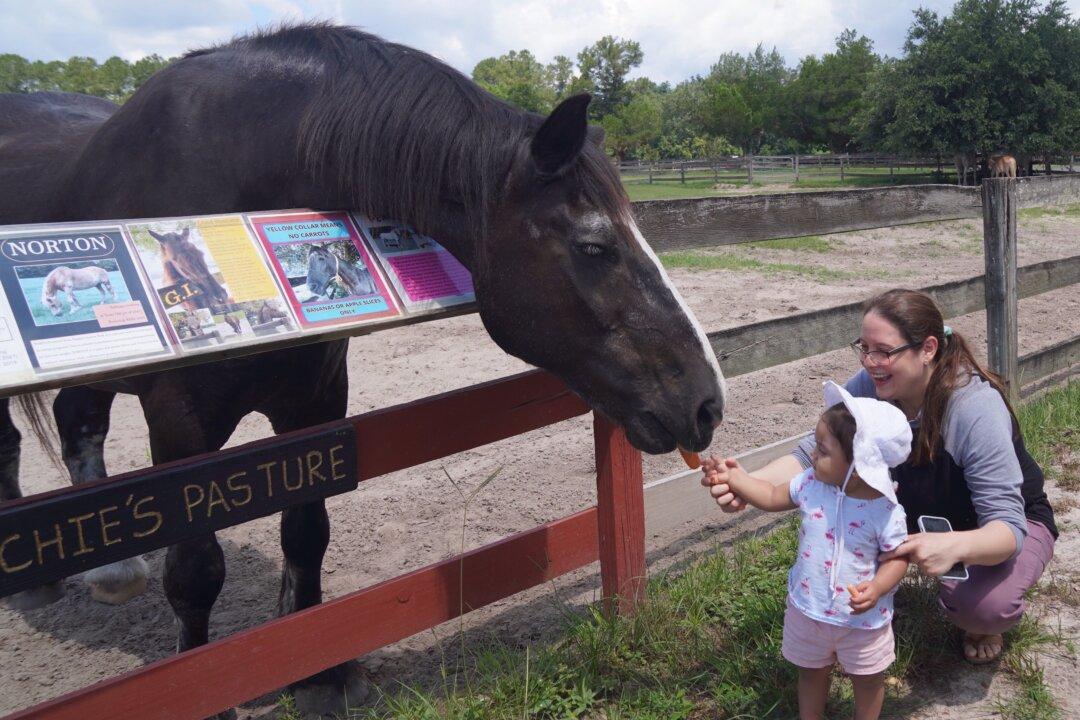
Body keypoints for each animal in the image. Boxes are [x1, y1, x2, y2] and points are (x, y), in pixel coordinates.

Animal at [0, 24, 725, 716]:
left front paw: (317, 675)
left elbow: (306, 533)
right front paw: (206, 694)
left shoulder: (315, 404)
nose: (707, 402)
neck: (238, 180)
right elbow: (197, 570)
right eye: (594, 246)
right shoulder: (181, 427)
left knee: (75, 417)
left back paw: (108, 574)